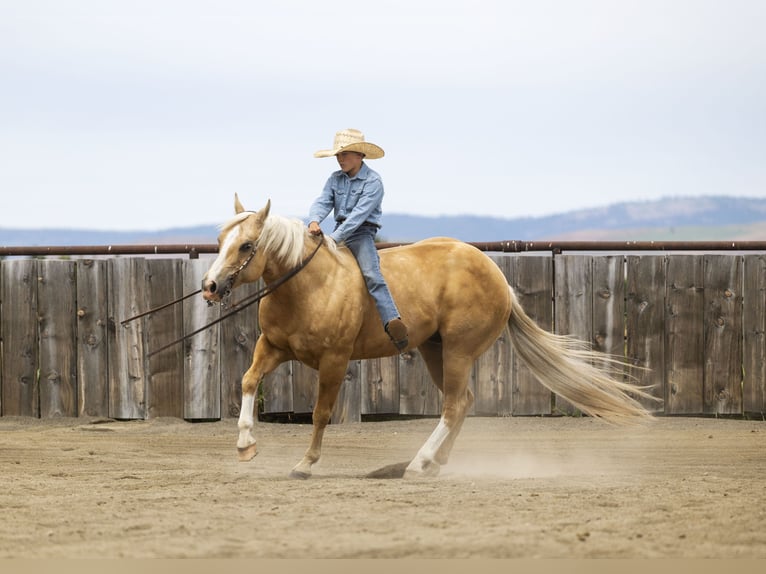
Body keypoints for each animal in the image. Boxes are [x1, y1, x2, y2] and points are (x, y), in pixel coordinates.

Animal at [202, 198, 656, 482]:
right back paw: (434, 463)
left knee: (453, 406)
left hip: (458, 351)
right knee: (463, 402)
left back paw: (419, 464)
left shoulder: (334, 360)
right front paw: (245, 445)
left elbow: (319, 414)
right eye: (220, 242)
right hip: (433, 349)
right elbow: (247, 381)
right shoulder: (273, 347)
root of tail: (497, 277)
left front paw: (305, 464)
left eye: (246, 244)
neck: (310, 285)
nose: (209, 286)